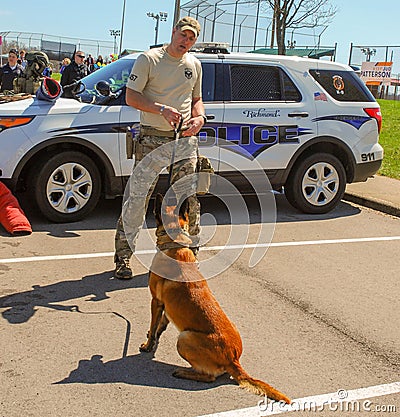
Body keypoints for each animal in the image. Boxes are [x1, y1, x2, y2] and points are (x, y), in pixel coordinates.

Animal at [141, 195, 290, 404]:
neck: (175, 243)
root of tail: (233, 359)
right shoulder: (166, 309)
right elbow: (160, 326)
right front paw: (152, 339)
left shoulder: (156, 301)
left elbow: (155, 326)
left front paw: (148, 345)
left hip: (184, 338)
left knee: (209, 377)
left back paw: (184, 372)